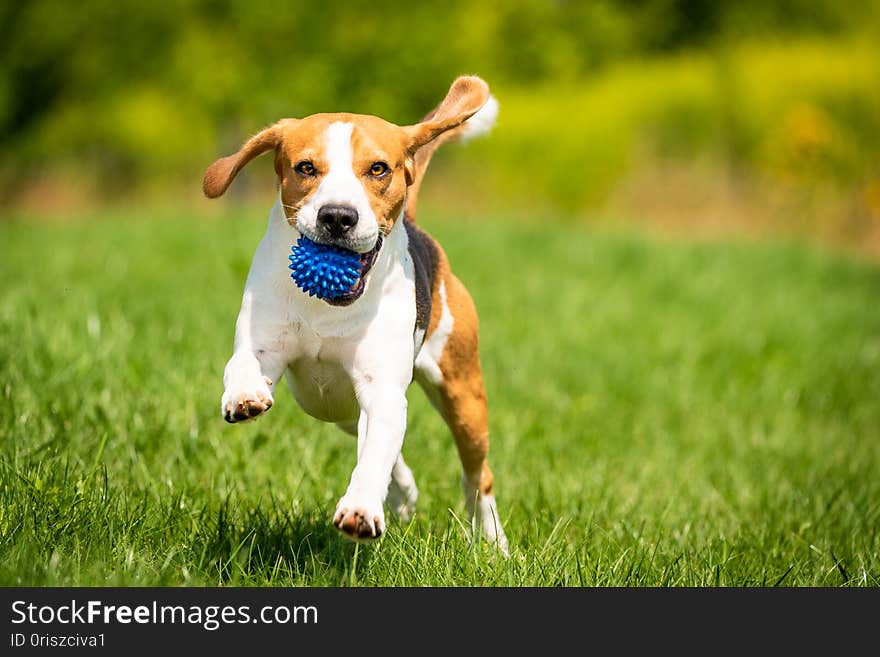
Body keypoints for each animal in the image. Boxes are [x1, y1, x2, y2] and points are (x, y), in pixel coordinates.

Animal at [202, 74, 506, 552]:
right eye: (306, 167)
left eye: (378, 168)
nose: (337, 216)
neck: (327, 308)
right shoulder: (264, 342)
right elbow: (243, 362)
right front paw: (244, 395)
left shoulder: (381, 387)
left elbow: (375, 456)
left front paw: (361, 510)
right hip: (336, 408)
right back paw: (403, 495)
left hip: (462, 394)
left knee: (476, 475)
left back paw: (494, 544)